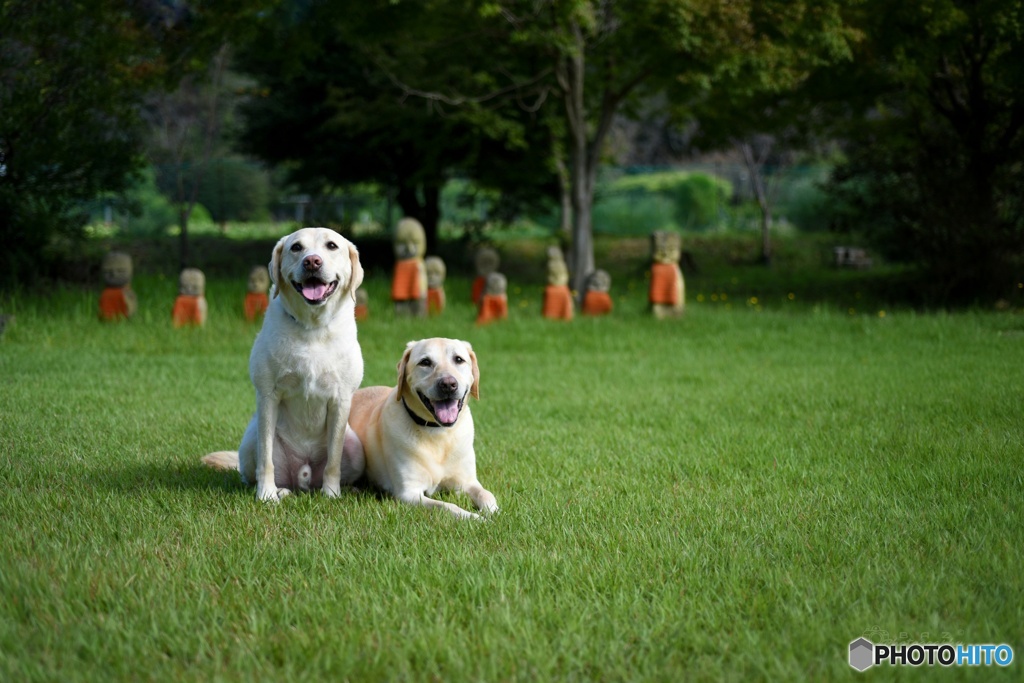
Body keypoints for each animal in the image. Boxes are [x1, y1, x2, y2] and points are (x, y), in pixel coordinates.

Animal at [199, 227, 364, 499]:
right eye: (296, 247)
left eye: (332, 246)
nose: (312, 261)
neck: (312, 328)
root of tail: (304, 479)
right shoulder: (268, 396)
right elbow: (266, 459)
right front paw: (266, 495)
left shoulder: (341, 400)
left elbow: (333, 461)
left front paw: (331, 494)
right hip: (250, 440)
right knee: (255, 471)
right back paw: (280, 491)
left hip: (355, 445)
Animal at [348, 339, 499, 520]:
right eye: (425, 362)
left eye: (459, 359)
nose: (448, 384)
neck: (438, 433)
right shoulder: (409, 494)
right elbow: (447, 506)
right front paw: (474, 517)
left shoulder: (467, 482)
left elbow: (487, 494)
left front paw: (492, 512)